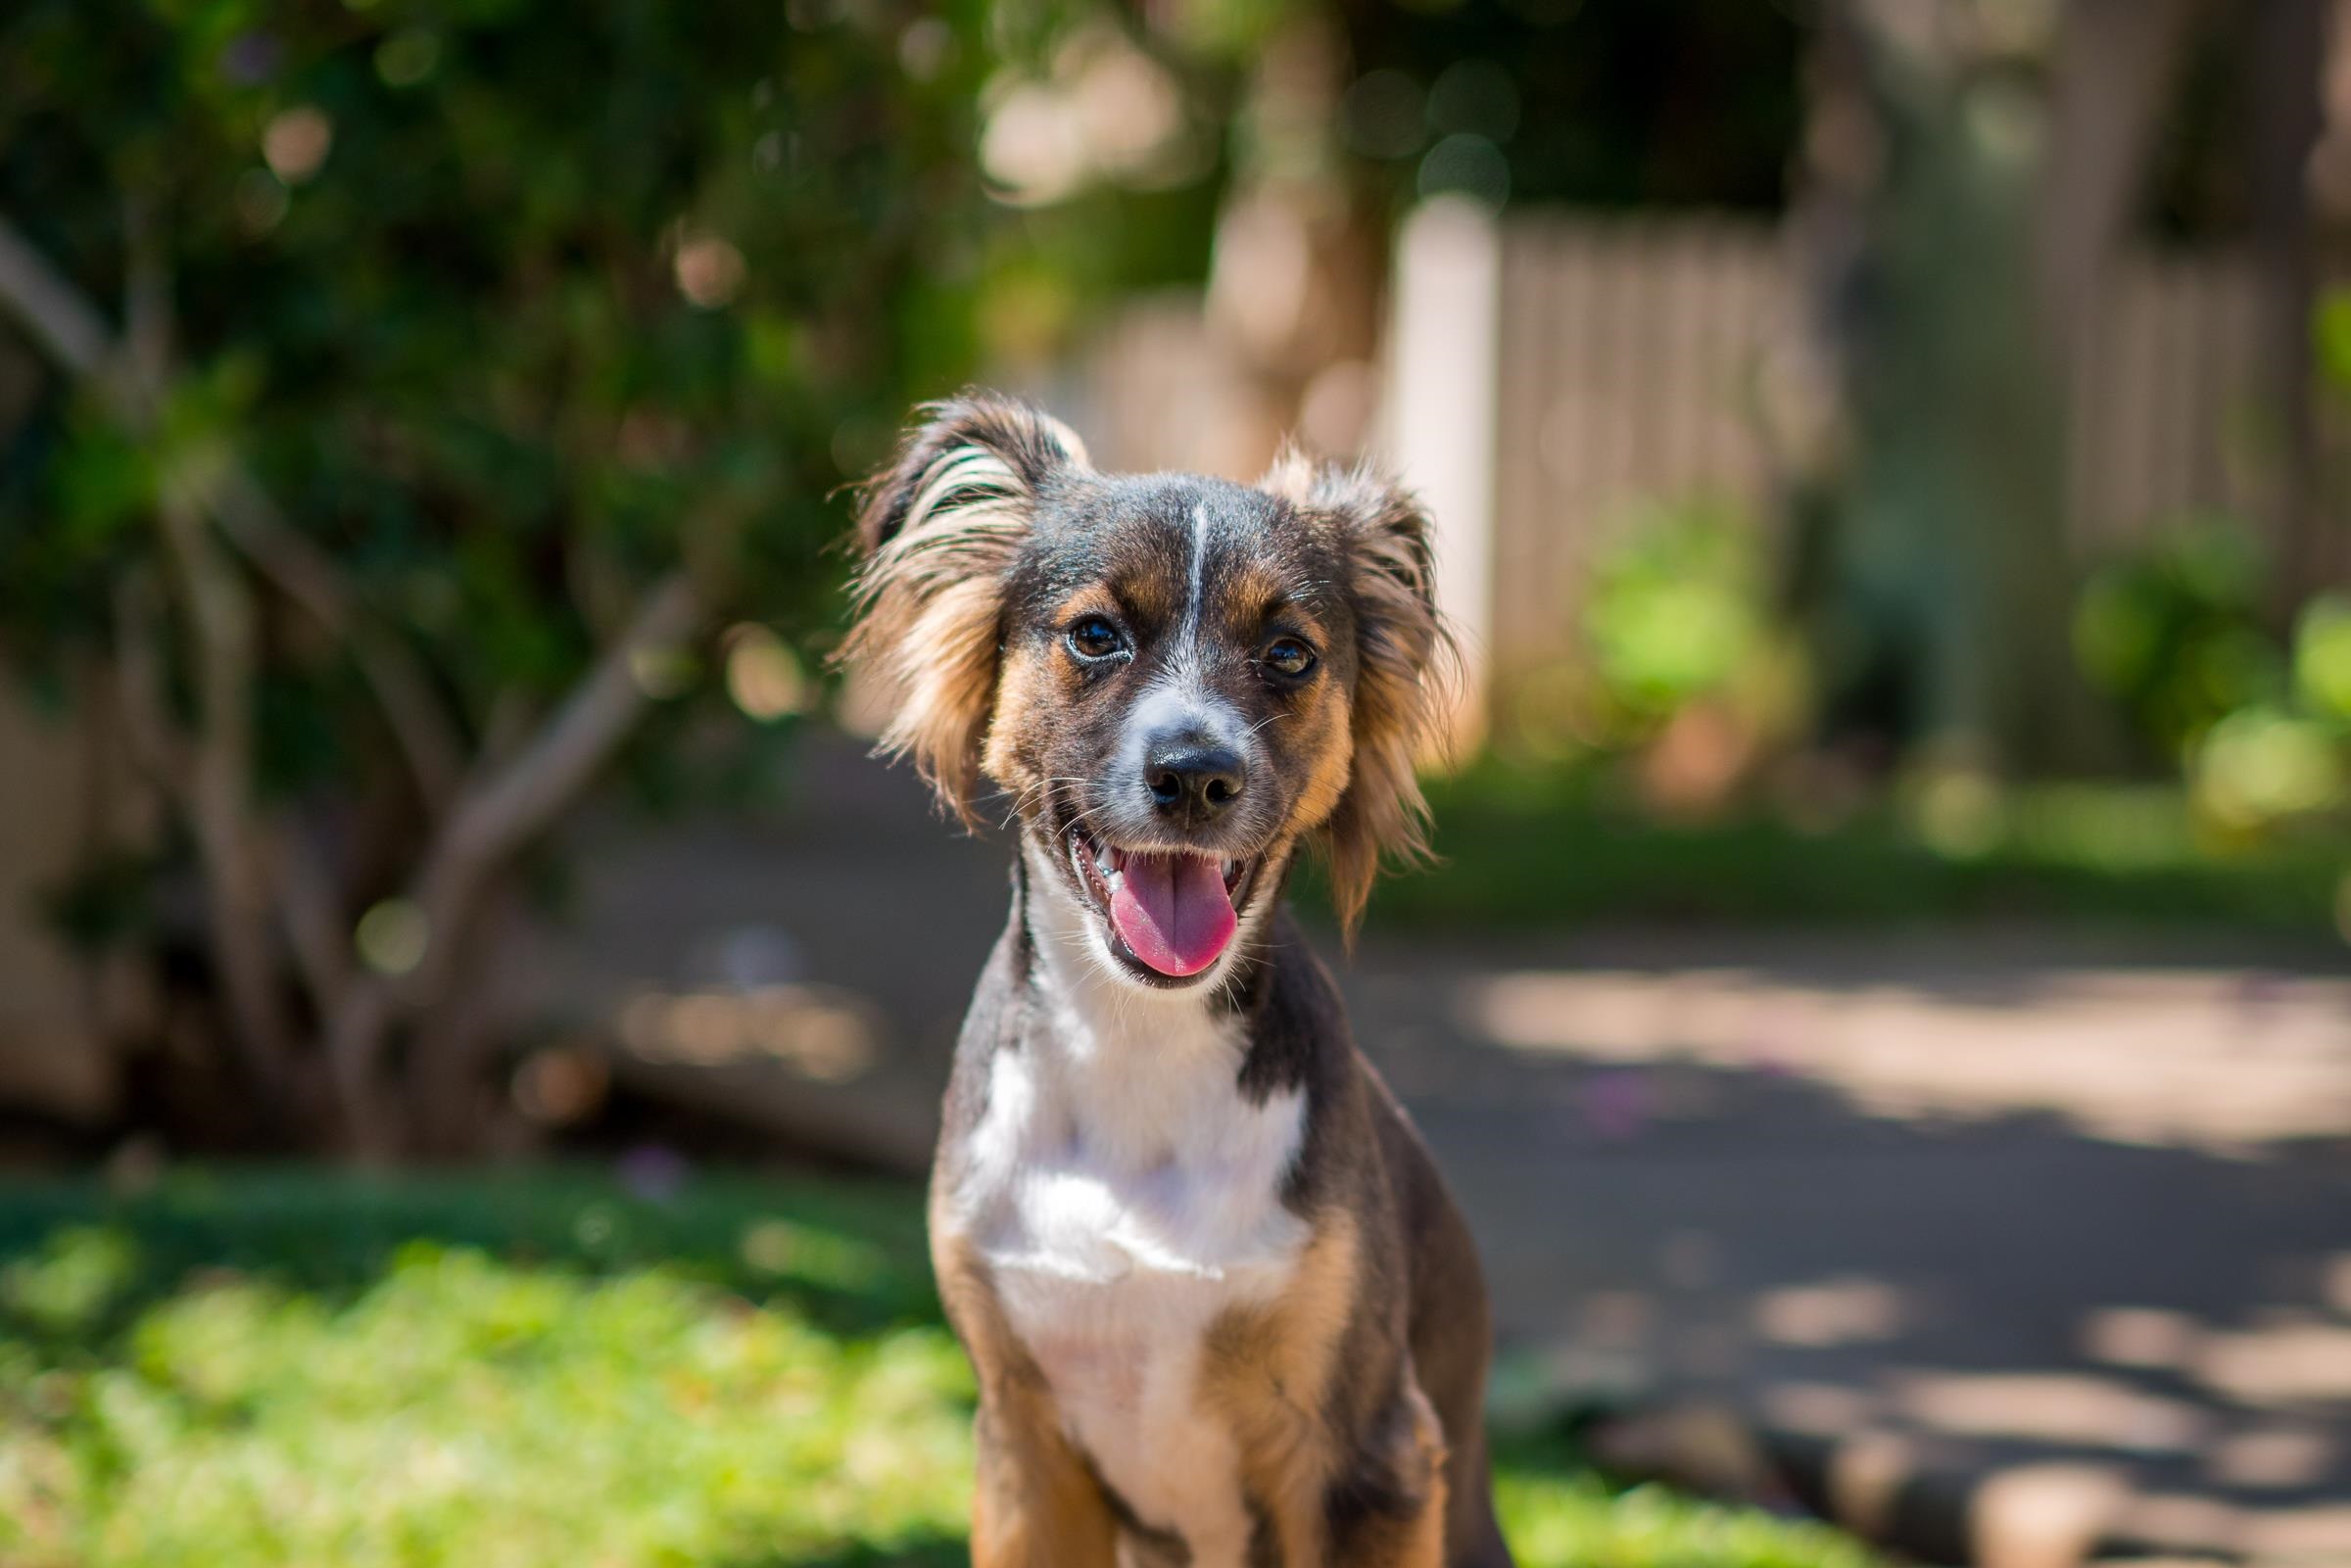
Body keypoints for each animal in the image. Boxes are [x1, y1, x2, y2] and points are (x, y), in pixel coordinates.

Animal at [837, 395, 1513, 1568]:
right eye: (1095, 634)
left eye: (1290, 652)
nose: (1197, 774)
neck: (1139, 1046)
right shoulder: (1023, 1444)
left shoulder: (1370, 1451)